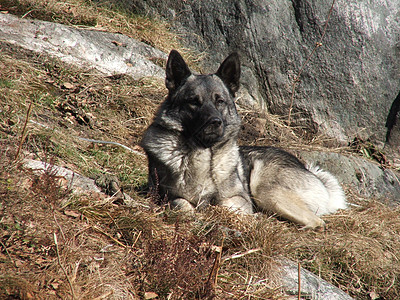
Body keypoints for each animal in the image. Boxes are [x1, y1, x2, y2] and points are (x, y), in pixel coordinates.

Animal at [141, 49, 346, 230]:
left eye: (220, 101)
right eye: (193, 101)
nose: (215, 122)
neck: (204, 154)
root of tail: (310, 172)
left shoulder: (240, 198)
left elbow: (227, 205)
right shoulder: (165, 196)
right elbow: (181, 203)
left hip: (266, 191)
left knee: (317, 221)